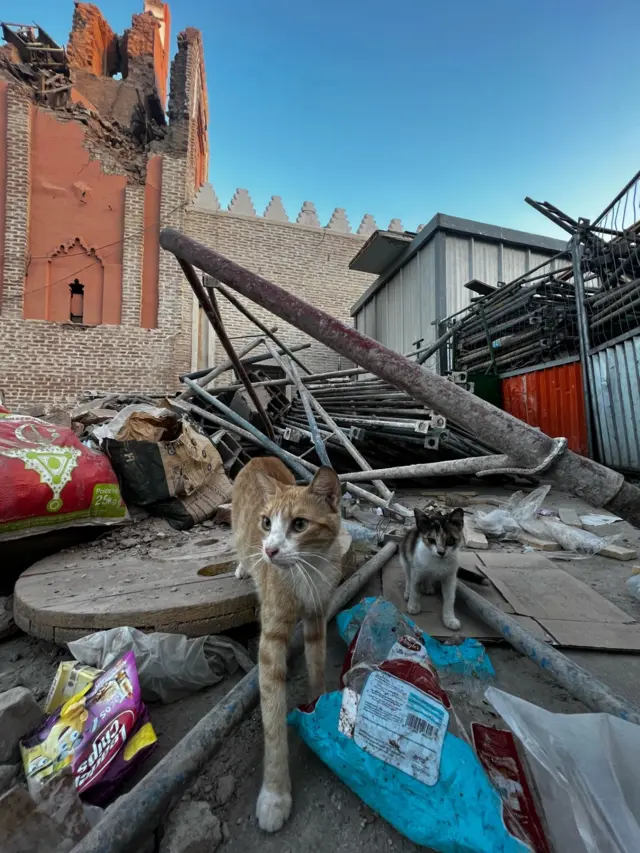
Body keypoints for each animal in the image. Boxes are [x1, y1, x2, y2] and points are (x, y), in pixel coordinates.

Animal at [231, 460, 342, 832]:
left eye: (299, 525)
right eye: (267, 523)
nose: (270, 551)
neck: (307, 572)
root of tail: (258, 458)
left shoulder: (318, 617)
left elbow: (318, 665)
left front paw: (317, 707)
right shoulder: (271, 644)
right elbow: (274, 723)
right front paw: (275, 795)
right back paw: (243, 567)